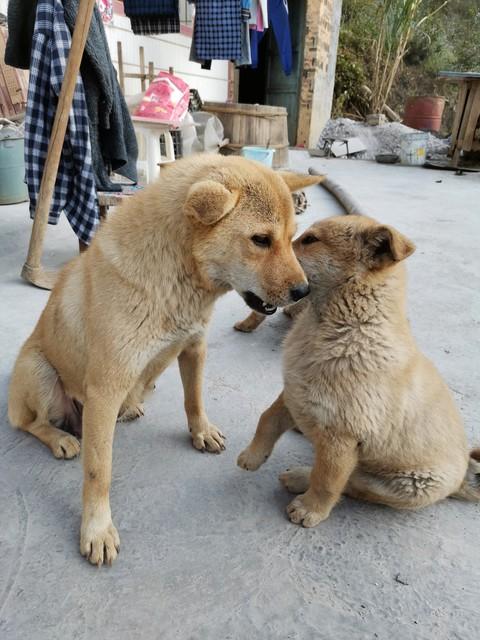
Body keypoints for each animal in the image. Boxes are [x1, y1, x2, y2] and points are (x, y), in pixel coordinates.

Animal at [7, 155, 320, 564]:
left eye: (291, 236)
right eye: (261, 240)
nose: (304, 291)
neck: (176, 273)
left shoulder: (194, 347)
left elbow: (194, 400)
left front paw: (201, 432)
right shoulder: (105, 389)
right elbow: (98, 470)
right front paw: (97, 528)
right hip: (39, 371)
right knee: (30, 423)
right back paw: (60, 438)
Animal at [237, 215, 480, 524]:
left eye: (310, 240)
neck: (348, 326)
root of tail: (464, 476)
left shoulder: (342, 438)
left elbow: (327, 480)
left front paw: (311, 509)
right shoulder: (293, 389)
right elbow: (267, 418)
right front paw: (253, 456)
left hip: (406, 485)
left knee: (352, 482)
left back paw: (299, 479)